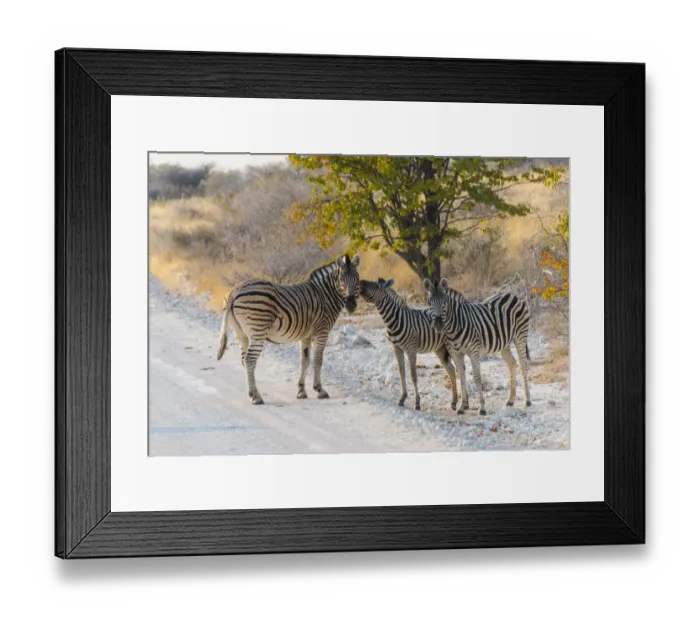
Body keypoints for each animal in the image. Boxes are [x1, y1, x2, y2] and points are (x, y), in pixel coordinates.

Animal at [217, 254, 361, 404]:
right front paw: (319, 390)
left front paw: (301, 391)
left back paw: (255, 393)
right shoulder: (321, 331)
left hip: (240, 333)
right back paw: (256, 397)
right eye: (341, 280)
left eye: (357, 278)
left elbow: (304, 361)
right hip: (257, 330)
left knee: (244, 360)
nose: (351, 305)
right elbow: (317, 360)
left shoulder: (305, 336)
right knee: (250, 359)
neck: (324, 295)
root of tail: (235, 290)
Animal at [359, 278, 458, 411]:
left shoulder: (411, 349)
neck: (394, 321)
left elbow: (413, 375)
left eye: (377, 286)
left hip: (451, 345)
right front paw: (402, 398)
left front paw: (417, 403)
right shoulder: (396, 348)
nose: (360, 282)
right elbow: (401, 372)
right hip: (440, 348)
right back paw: (454, 402)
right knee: (451, 370)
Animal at [423, 278, 531, 416]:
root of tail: (513, 295)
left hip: (520, 336)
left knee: (524, 365)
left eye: (444, 303)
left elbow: (477, 377)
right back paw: (510, 400)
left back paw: (527, 400)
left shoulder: (473, 351)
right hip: (505, 344)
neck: (455, 325)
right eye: (429, 302)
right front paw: (462, 407)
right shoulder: (456, 353)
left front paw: (482, 408)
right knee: (512, 363)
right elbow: (461, 376)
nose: (438, 325)